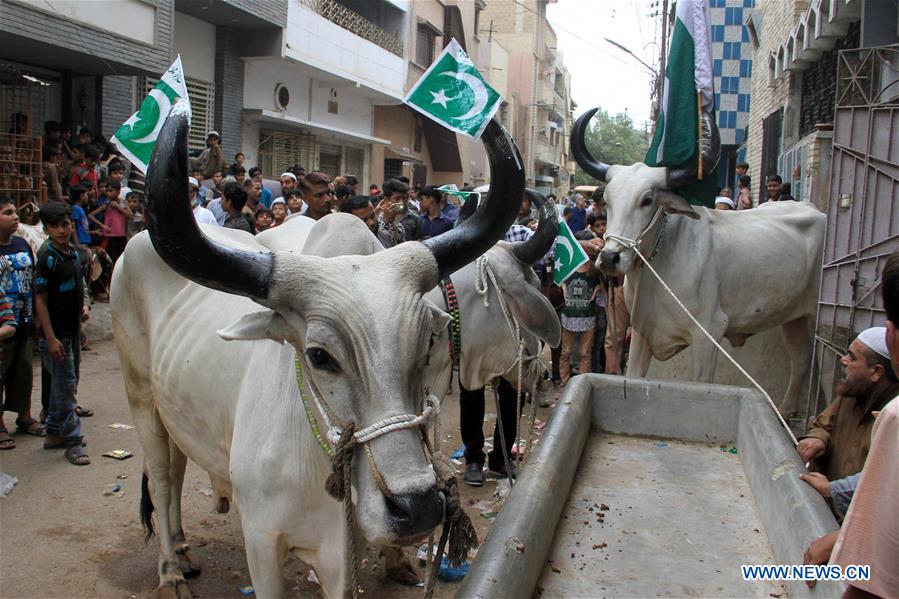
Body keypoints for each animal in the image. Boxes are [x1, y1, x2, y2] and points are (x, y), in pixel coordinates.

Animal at [110, 103, 528, 599]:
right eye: (318, 356)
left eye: (428, 341)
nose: (418, 508)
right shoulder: (262, 541)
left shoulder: (342, 555)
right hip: (140, 395)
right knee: (162, 478)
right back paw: (171, 571)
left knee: (174, 470)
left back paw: (184, 552)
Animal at [572, 108, 828, 418]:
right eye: (607, 200)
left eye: (647, 200)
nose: (610, 258)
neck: (659, 263)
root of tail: (817, 211)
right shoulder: (642, 334)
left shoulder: (708, 334)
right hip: (793, 317)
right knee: (800, 359)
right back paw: (786, 410)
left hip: (821, 316)